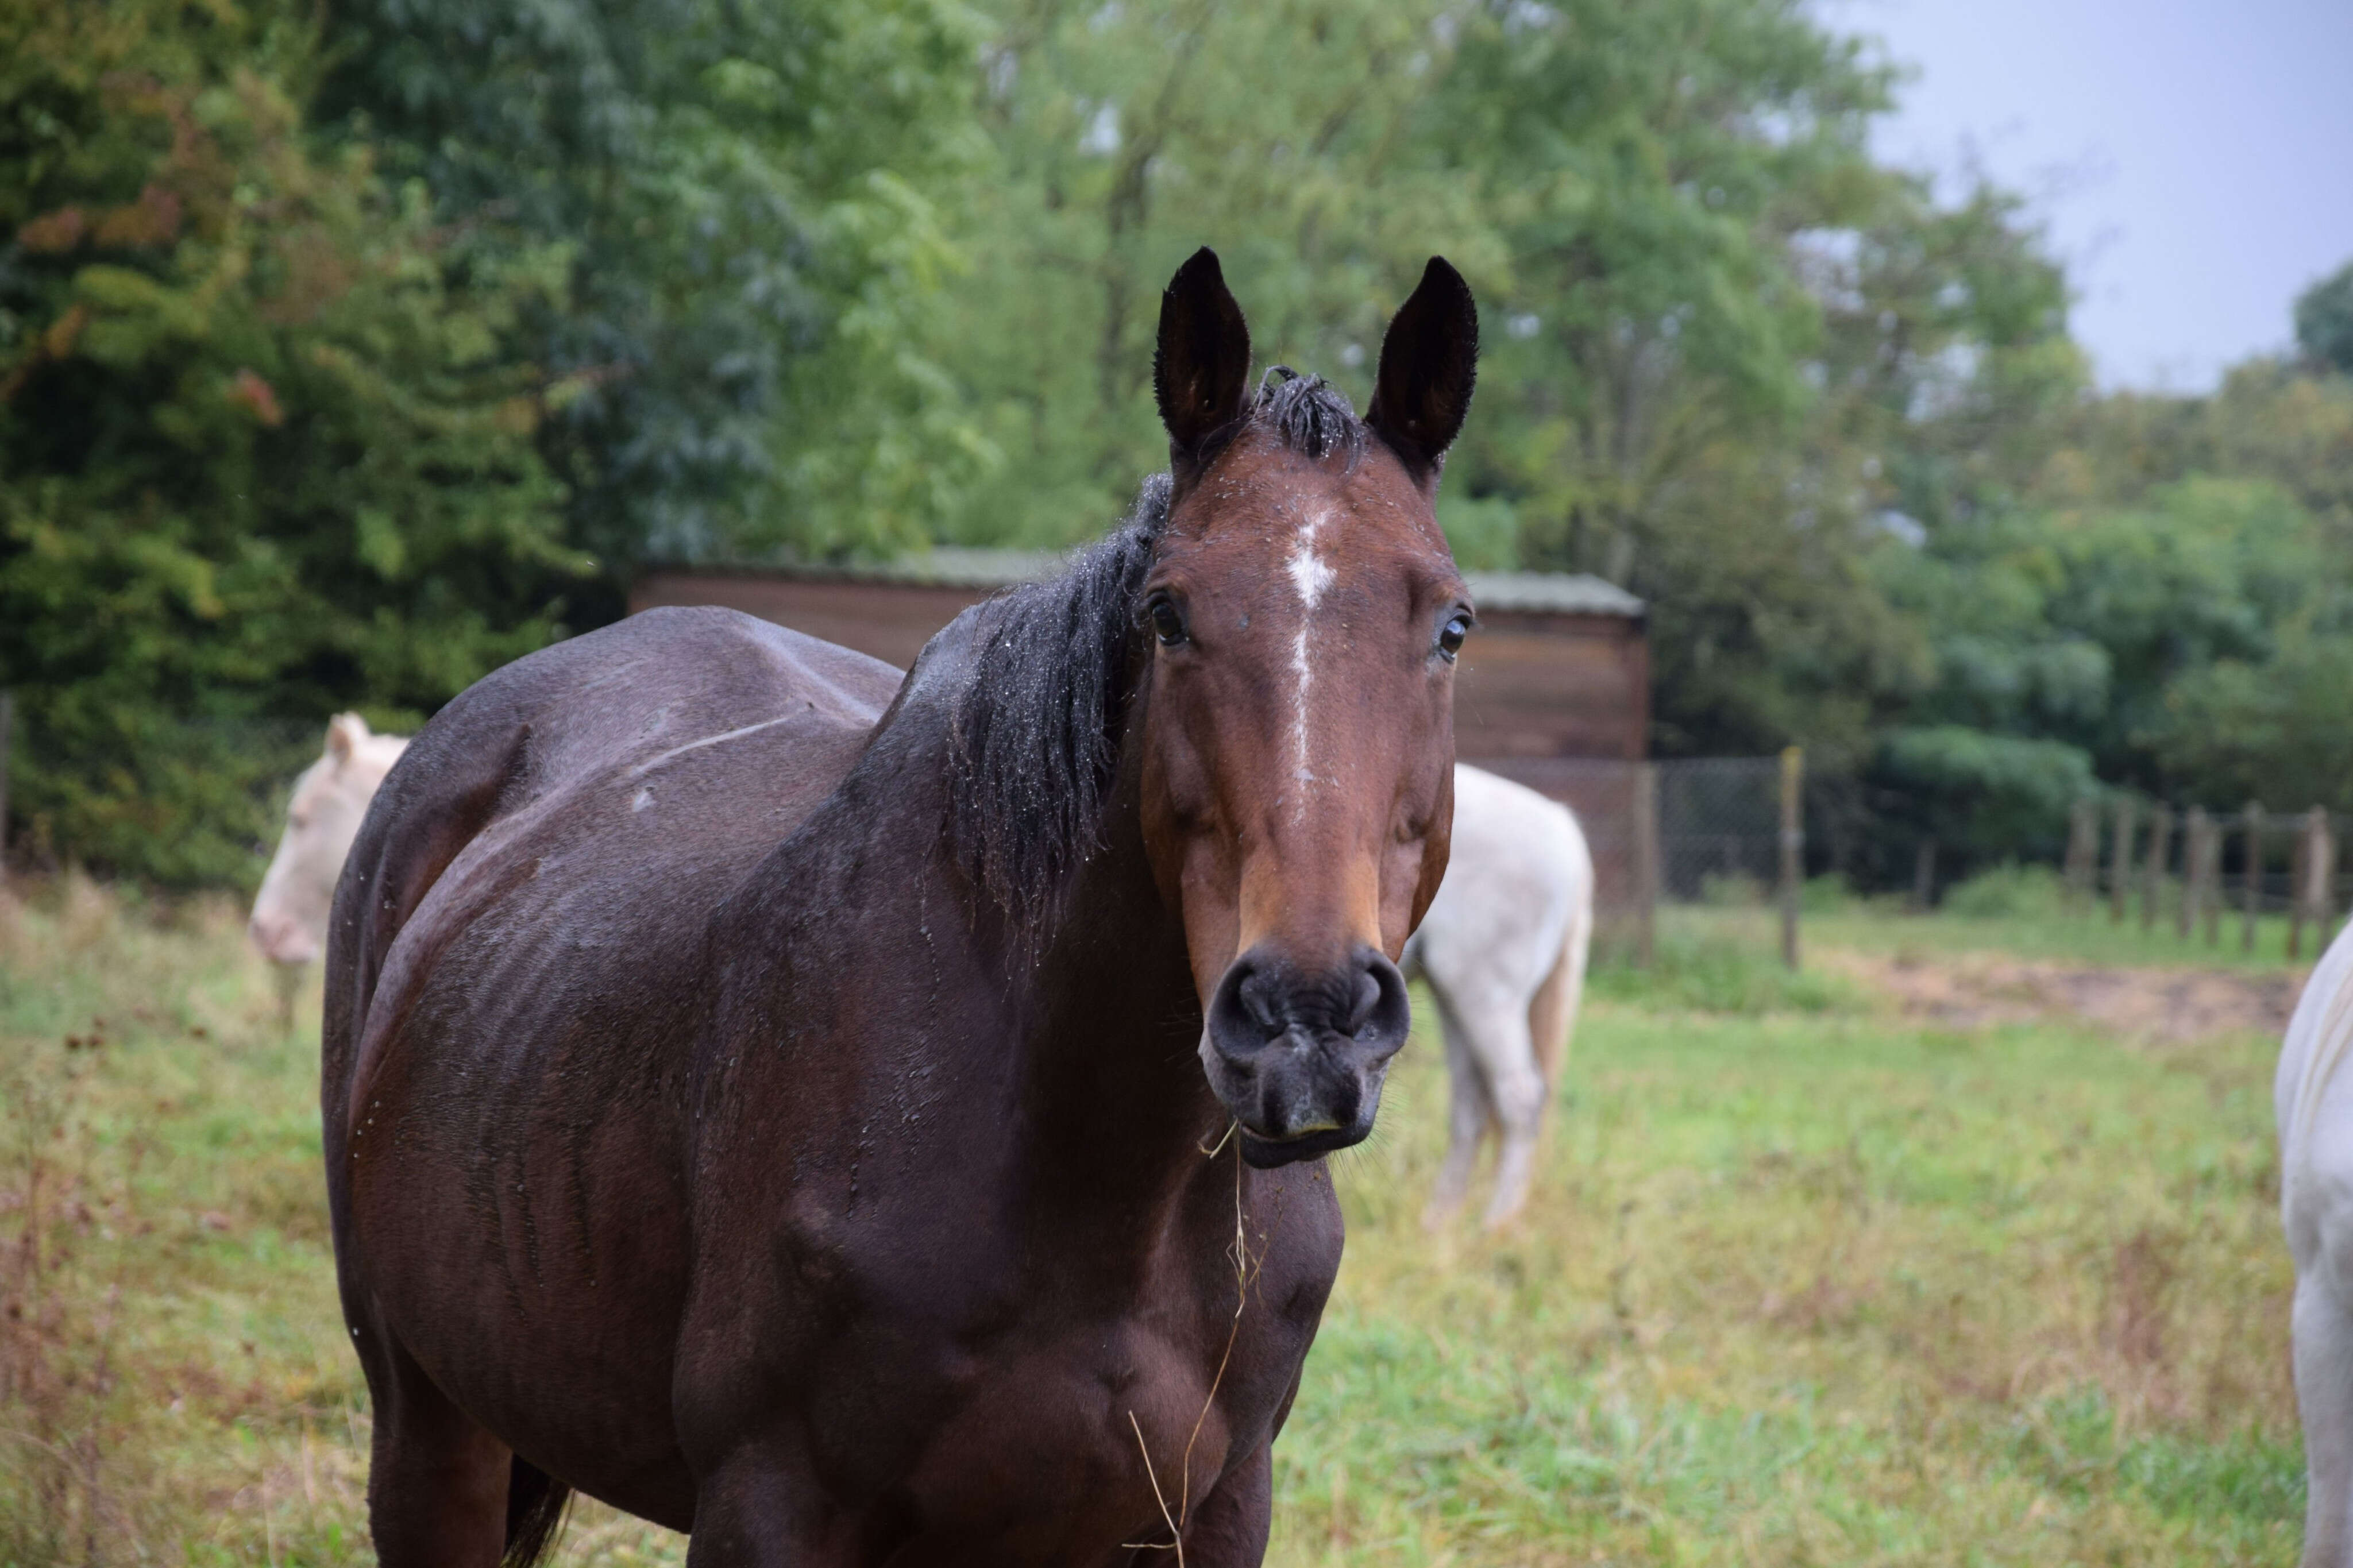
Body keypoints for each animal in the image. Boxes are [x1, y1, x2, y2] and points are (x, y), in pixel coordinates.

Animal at [322, 251, 1478, 1561]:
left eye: (1450, 624)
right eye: (1167, 613)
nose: (1305, 1023)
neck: (1092, 1181)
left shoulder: (1215, 1510)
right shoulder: (767, 1505)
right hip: (428, 1424)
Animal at [1392, 762, 1600, 1222]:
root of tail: (1559, 825)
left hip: (1485, 998)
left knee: (1520, 1099)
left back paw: (1496, 1225)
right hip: (1455, 999)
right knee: (1472, 1104)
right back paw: (1440, 1226)